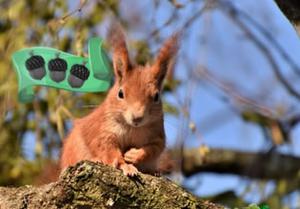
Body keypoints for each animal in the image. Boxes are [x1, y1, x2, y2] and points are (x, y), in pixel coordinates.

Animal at [59, 23, 179, 176]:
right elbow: (110, 151)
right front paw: (126, 166)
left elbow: (154, 149)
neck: (132, 128)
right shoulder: (104, 132)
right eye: (120, 93)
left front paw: (134, 155)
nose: (137, 117)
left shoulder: (157, 134)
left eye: (157, 96)